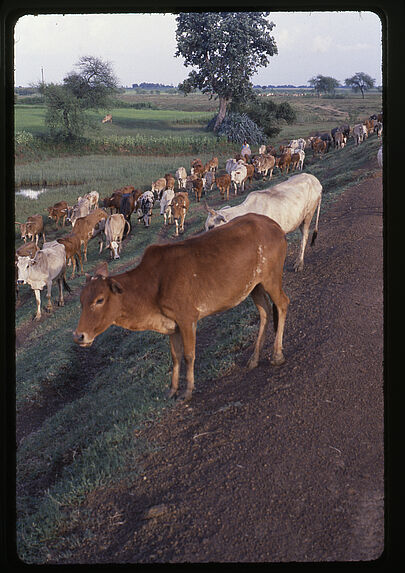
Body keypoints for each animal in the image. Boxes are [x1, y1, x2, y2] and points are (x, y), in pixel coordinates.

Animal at [72, 212, 288, 400]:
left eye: (99, 300)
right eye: (81, 301)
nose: (79, 336)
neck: (152, 284)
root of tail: (273, 225)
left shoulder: (187, 319)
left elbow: (189, 355)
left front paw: (188, 390)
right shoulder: (172, 326)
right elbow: (175, 357)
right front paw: (172, 390)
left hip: (271, 278)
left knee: (282, 304)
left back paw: (277, 354)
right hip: (254, 286)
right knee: (265, 312)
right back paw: (254, 358)